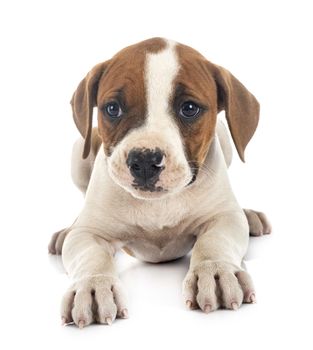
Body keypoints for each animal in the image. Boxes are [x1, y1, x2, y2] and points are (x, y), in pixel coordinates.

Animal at [49, 37, 270, 326]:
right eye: (112, 109)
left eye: (189, 109)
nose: (144, 160)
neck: (158, 205)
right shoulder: (88, 234)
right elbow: (91, 257)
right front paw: (93, 286)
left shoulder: (225, 219)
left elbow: (214, 242)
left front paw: (215, 270)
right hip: (79, 151)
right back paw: (66, 231)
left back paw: (250, 215)